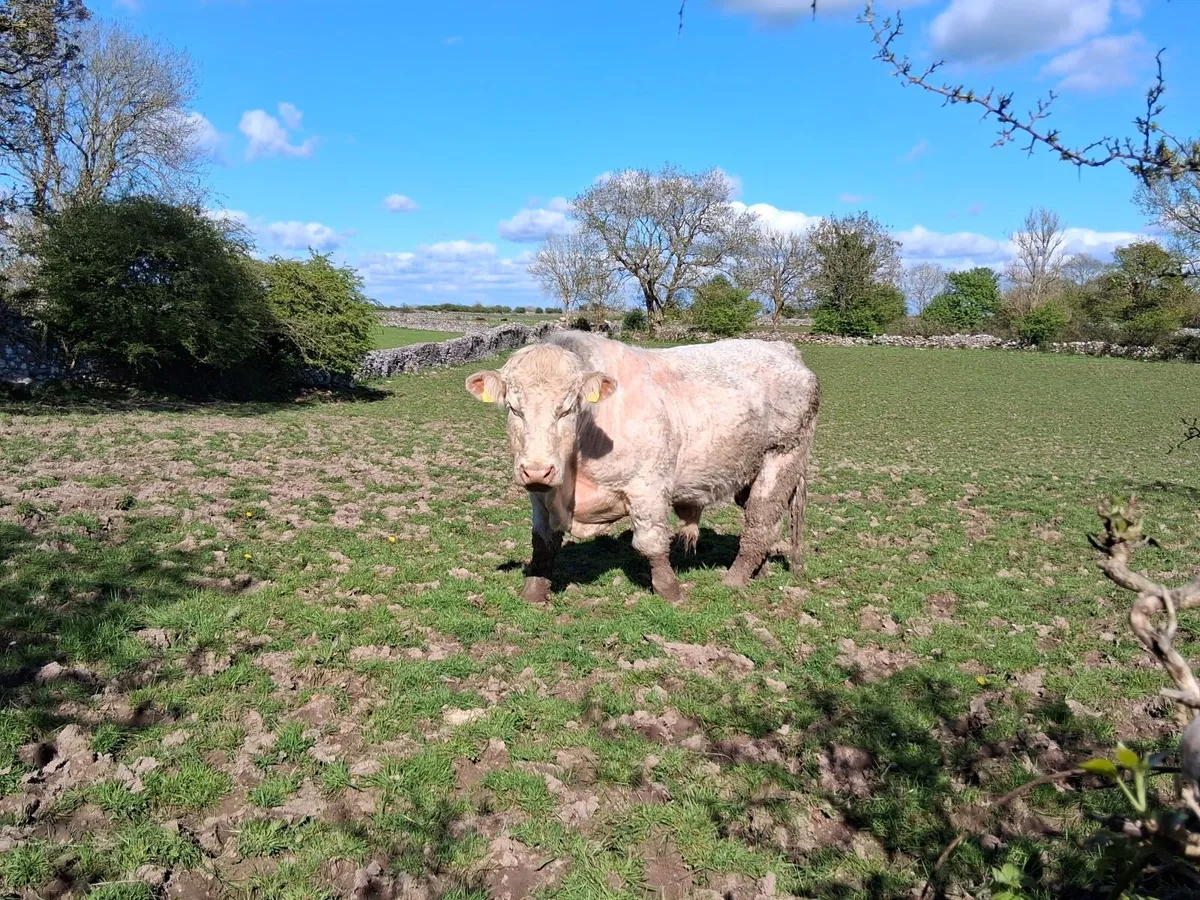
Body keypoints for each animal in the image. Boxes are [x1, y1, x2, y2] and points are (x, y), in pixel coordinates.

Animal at [465, 330, 819, 604]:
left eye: (567, 409)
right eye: (514, 408)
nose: (537, 470)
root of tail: (784, 349)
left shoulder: (647, 487)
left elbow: (651, 543)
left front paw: (671, 591)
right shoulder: (540, 495)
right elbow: (542, 542)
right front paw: (535, 591)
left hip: (782, 458)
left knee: (761, 522)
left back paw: (735, 578)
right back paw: (760, 570)